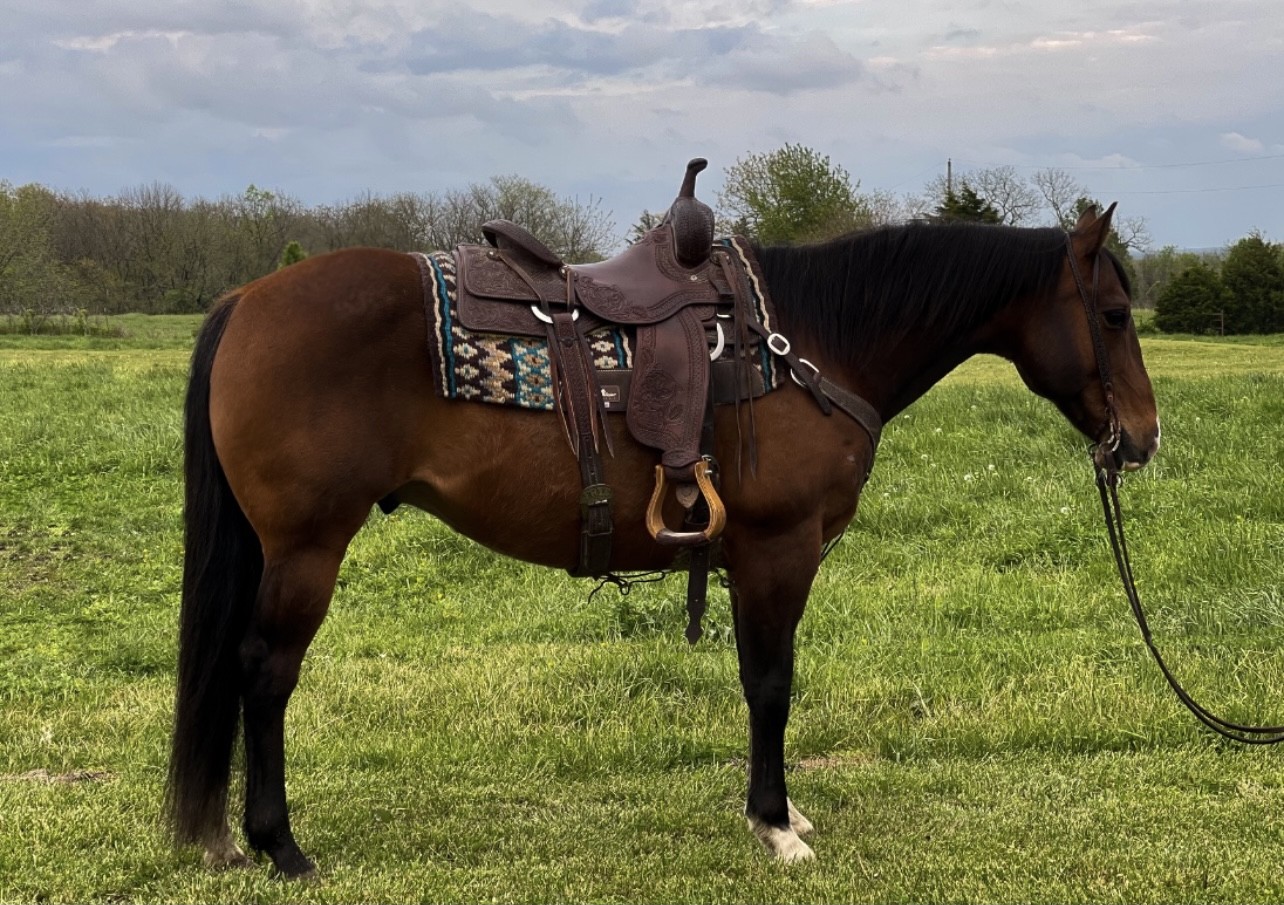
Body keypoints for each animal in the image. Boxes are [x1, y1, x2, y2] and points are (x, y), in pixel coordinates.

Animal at [165, 202, 1160, 872]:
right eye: (1113, 315)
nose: (1144, 437)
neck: (813, 344)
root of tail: (250, 298)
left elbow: (760, 679)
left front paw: (777, 815)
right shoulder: (778, 550)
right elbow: (771, 684)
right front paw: (775, 823)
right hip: (305, 547)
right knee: (265, 671)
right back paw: (279, 844)